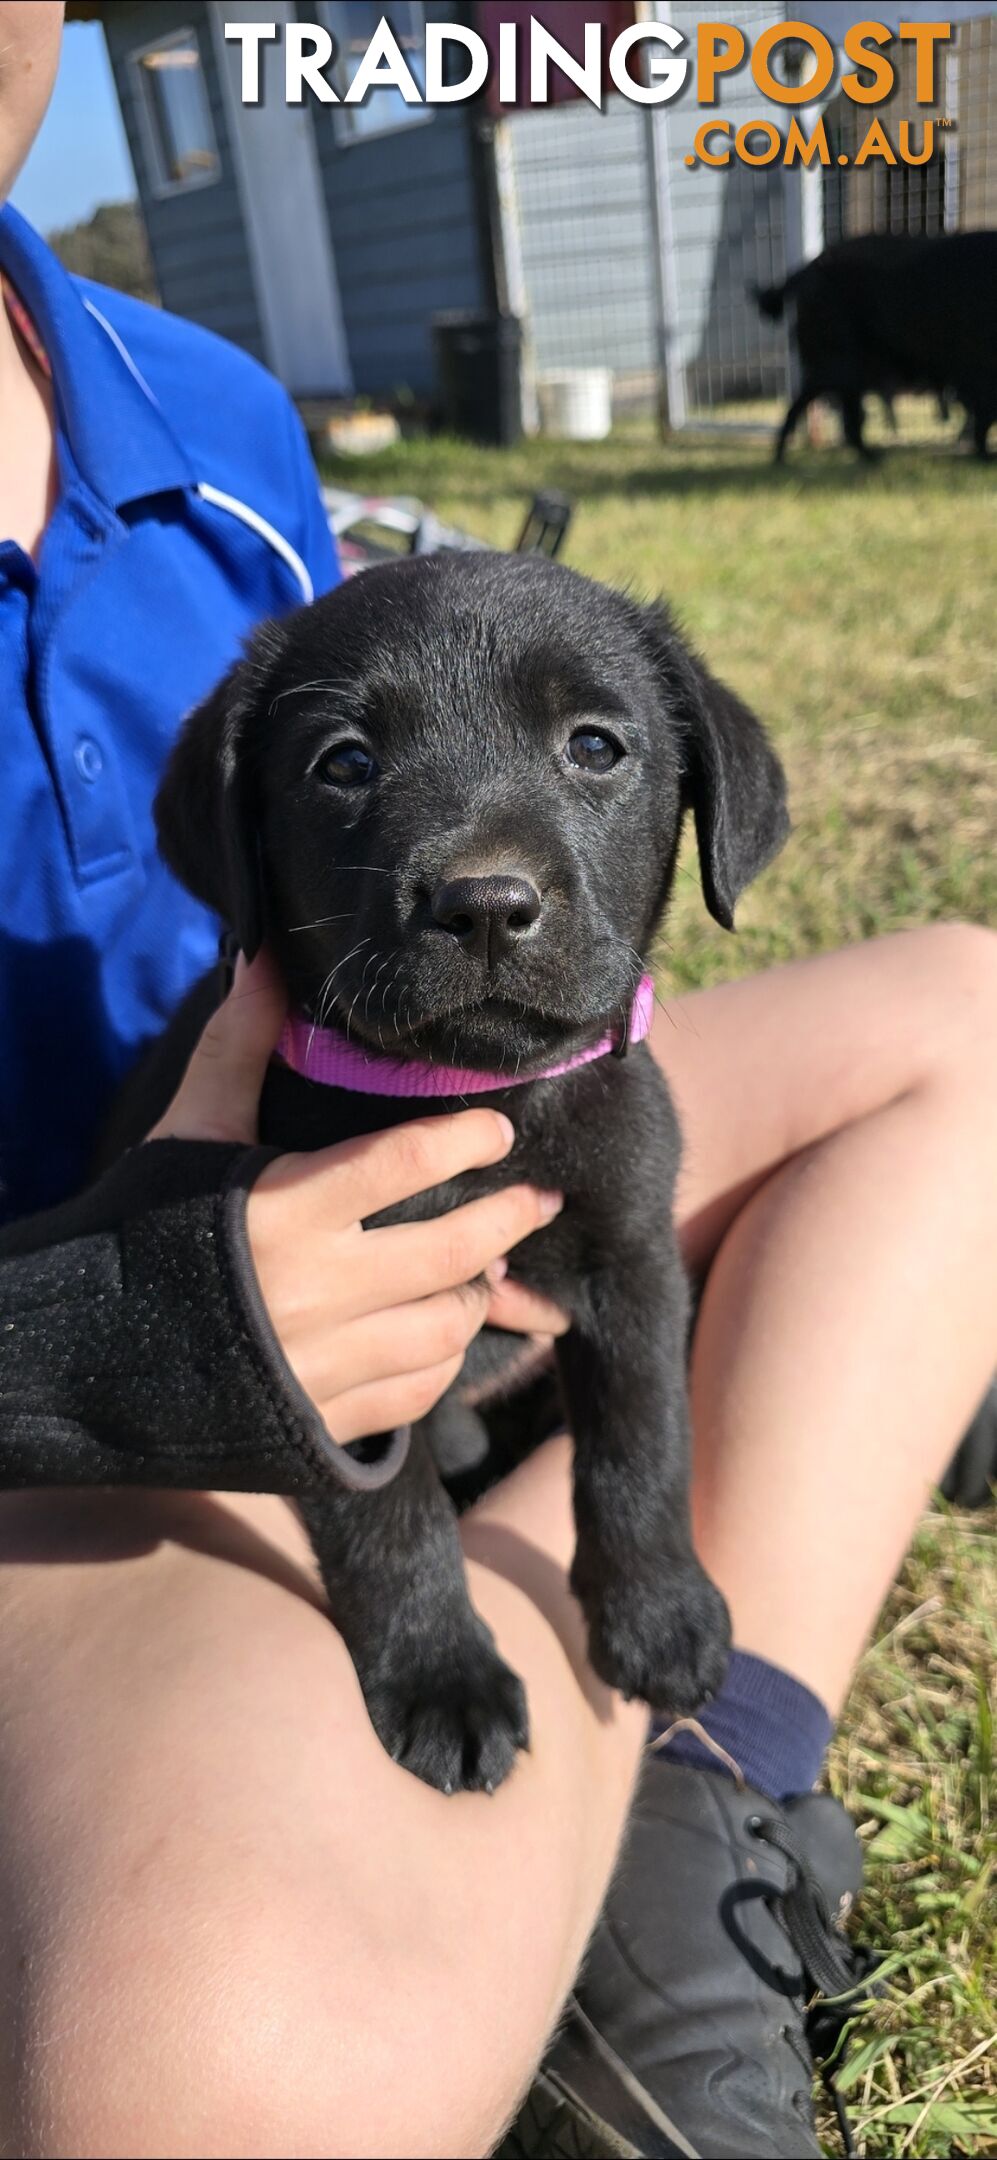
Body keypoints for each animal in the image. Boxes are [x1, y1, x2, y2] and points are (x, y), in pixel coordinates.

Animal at [152, 548, 789, 1797]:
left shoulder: (633, 1257)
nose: (486, 906)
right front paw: (441, 1676)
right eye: (345, 764)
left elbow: (642, 1435)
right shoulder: (327, 1336)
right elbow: (388, 1522)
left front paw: (660, 1615)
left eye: (594, 745)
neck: (480, 1098)